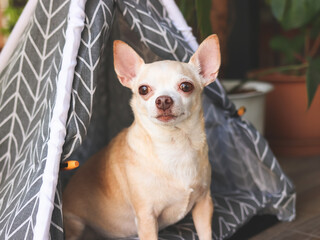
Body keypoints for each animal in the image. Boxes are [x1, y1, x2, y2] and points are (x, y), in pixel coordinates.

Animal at [62, 34, 220, 240]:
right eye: (143, 90)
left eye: (186, 86)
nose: (163, 100)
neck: (174, 144)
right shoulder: (146, 217)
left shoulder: (203, 203)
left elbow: (206, 234)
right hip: (75, 224)